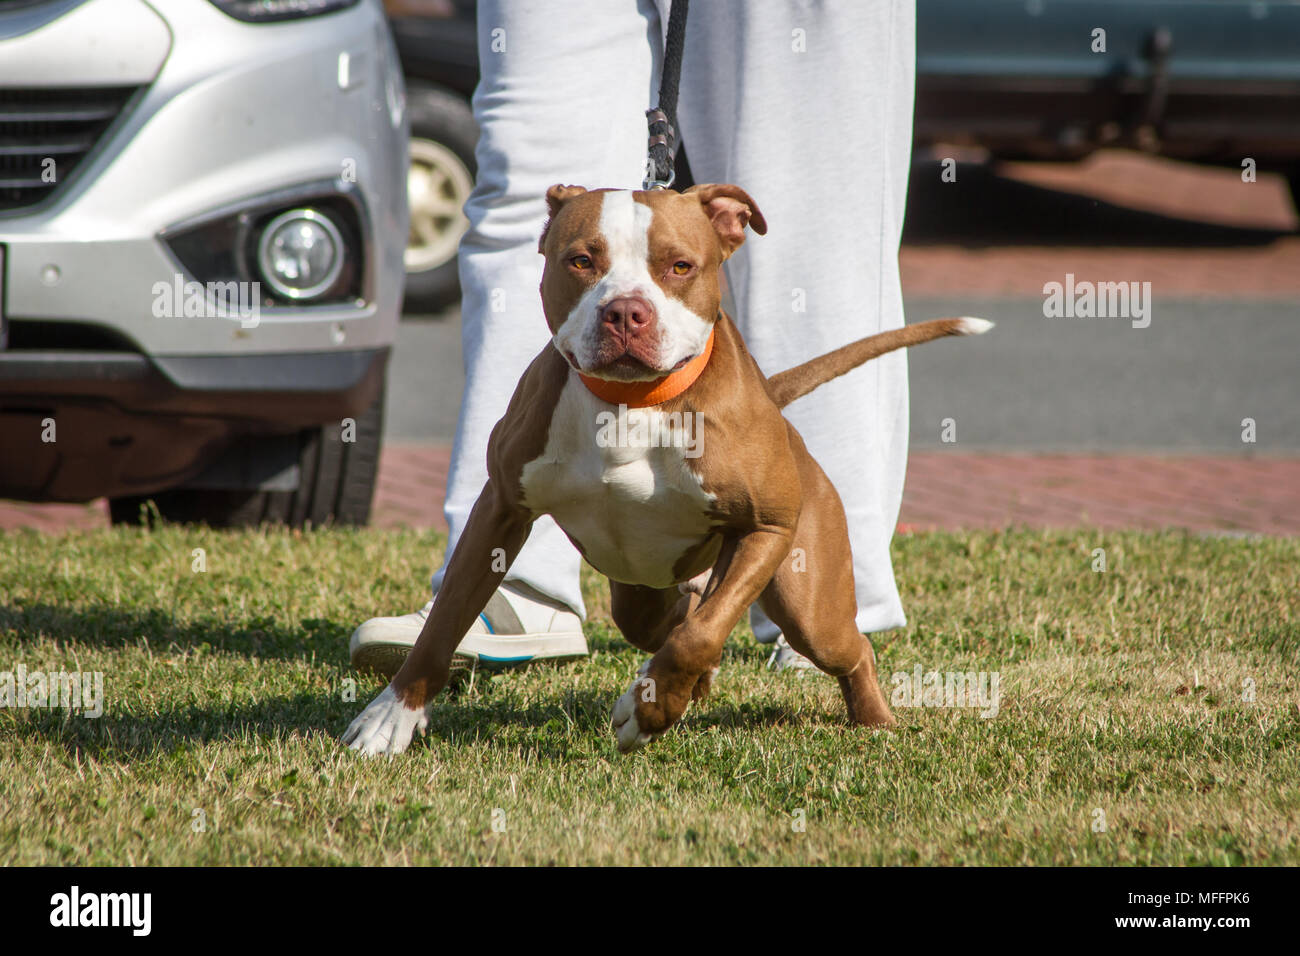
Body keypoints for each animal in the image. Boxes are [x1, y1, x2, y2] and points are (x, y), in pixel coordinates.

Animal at [340, 183, 987, 759]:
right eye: (581, 260)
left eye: (679, 266)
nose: (627, 311)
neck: (632, 402)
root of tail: (779, 413)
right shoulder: (500, 510)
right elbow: (445, 620)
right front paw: (391, 716)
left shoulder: (766, 530)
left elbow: (700, 637)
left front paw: (648, 709)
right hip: (641, 595)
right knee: (671, 620)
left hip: (807, 601)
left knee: (837, 647)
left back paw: (872, 721)